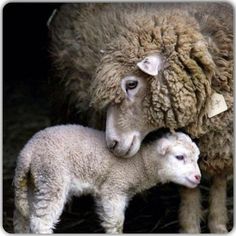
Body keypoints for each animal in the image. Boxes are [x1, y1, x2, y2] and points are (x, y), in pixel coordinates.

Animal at [13, 124, 201, 233]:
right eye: (179, 157)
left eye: (197, 157)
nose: (198, 177)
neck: (140, 164)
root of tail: (27, 152)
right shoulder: (114, 189)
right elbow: (117, 223)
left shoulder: (104, 191)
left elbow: (107, 219)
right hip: (52, 177)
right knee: (41, 222)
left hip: (35, 182)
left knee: (22, 218)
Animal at [48, 2, 233, 234]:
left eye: (131, 84)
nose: (112, 143)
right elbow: (188, 186)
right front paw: (190, 226)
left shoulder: (221, 136)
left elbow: (218, 181)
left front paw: (219, 224)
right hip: (62, 95)